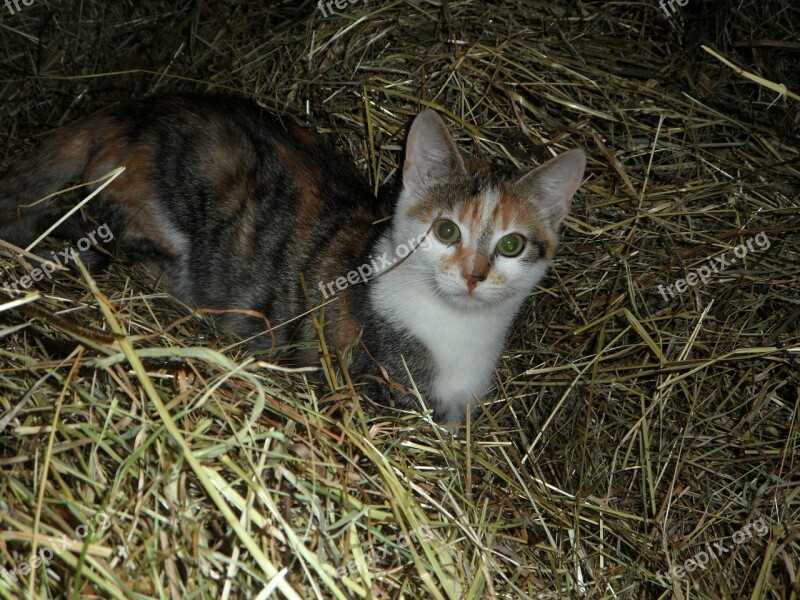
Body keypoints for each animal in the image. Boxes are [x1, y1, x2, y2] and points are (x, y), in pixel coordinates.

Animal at [0, 92, 588, 422]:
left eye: (511, 244)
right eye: (446, 231)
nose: (473, 276)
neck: (457, 329)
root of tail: (126, 111)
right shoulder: (376, 383)